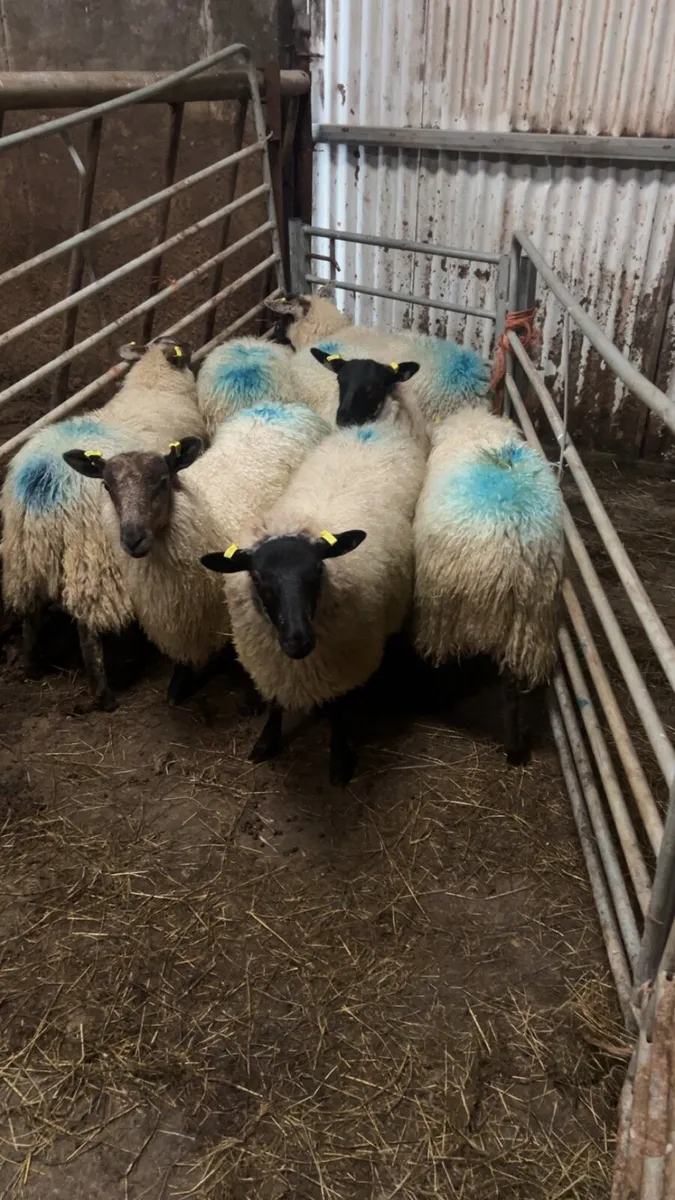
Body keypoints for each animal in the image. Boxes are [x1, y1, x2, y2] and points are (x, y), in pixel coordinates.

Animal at [2, 337, 206, 709]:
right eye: (183, 351)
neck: (154, 385)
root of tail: (43, 484)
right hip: (93, 556)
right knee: (87, 627)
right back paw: (104, 694)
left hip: (22, 556)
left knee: (31, 613)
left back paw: (30, 666)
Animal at [63, 402, 331, 705]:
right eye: (108, 486)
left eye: (163, 481)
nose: (132, 538)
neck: (205, 514)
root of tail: (281, 406)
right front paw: (178, 686)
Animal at [201, 417, 427, 785]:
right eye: (258, 578)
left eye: (318, 569)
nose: (299, 640)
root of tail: (370, 426)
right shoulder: (272, 663)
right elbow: (275, 701)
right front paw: (266, 741)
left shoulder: (347, 660)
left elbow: (338, 710)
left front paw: (339, 760)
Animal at [412, 407, 565, 764]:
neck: (477, 430)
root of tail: (511, 562)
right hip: (528, 624)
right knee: (511, 689)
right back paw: (513, 749)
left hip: (442, 610)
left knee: (441, 661)